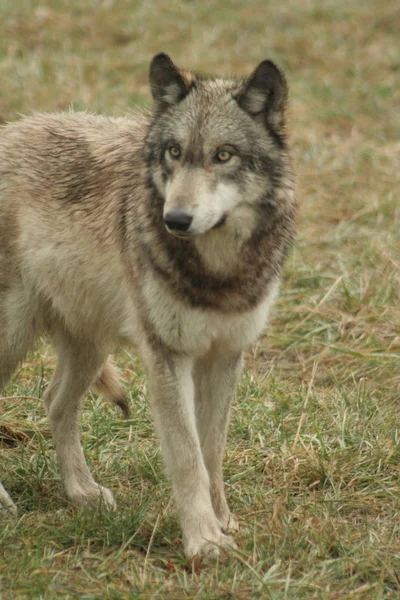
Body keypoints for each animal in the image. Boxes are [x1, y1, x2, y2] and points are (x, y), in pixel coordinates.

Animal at [0, 54, 294, 560]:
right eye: (174, 152)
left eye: (223, 155)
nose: (174, 219)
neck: (218, 272)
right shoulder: (167, 357)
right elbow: (188, 457)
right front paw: (204, 542)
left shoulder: (224, 355)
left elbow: (212, 451)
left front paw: (223, 522)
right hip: (15, 335)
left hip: (89, 344)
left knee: (55, 402)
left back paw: (82, 491)